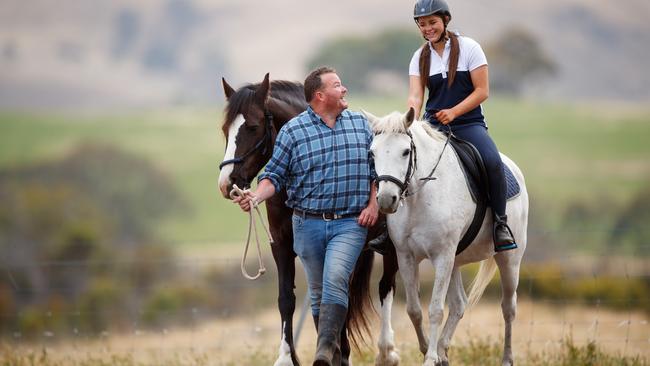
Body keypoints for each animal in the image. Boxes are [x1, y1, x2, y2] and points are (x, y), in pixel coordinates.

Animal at [364, 108, 528, 366]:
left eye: (406, 151)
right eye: (372, 152)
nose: (386, 199)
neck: (419, 197)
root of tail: (514, 169)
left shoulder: (442, 257)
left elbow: (435, 310)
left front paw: (430, 358)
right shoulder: (406, 256)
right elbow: (414, 310)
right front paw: (427, 350)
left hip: (509, 261)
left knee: (508, 308)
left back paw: (506, 359)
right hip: (455, 261)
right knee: (459, 304)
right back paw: (442, 351)